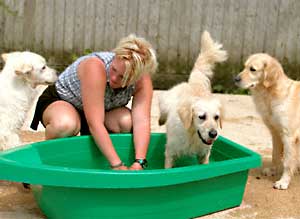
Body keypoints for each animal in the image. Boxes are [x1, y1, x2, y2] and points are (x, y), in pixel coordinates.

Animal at [158, 31, 226, 168]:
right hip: (166, 101)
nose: (213, 134)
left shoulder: (204, 154)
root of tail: (194, 83)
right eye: (201, 117)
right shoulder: (170, 151)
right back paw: (161, 120)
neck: (192, 135)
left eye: (216, 117)